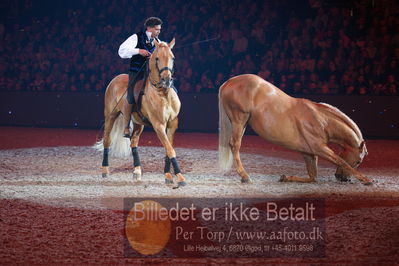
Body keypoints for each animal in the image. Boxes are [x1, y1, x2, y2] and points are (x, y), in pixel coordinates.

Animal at [97, 38, 187, 186]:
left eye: (172, 58)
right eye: (157, 58)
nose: (167, 80)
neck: (163, 93)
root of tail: (115, 80)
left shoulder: (172, 124)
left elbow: (168, 149)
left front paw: (168, 175)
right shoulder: (159, 125)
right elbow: (170, 149)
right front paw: (180, 178)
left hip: (138, 123)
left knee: (133, 142)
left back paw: (137, 171)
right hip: (111, 116)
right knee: (107, 141)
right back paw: (105, 170)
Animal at [219, 73, 372, 185]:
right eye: (358, 161)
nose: (342, 178)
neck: (321, 120)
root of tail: (228, 82)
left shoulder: (308, 152)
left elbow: (313, 176)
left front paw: (286, 178)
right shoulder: (319, 148)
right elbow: (341, 161)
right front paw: (365, 179)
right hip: (239, 119)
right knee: (235, 145)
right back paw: (245, 176)